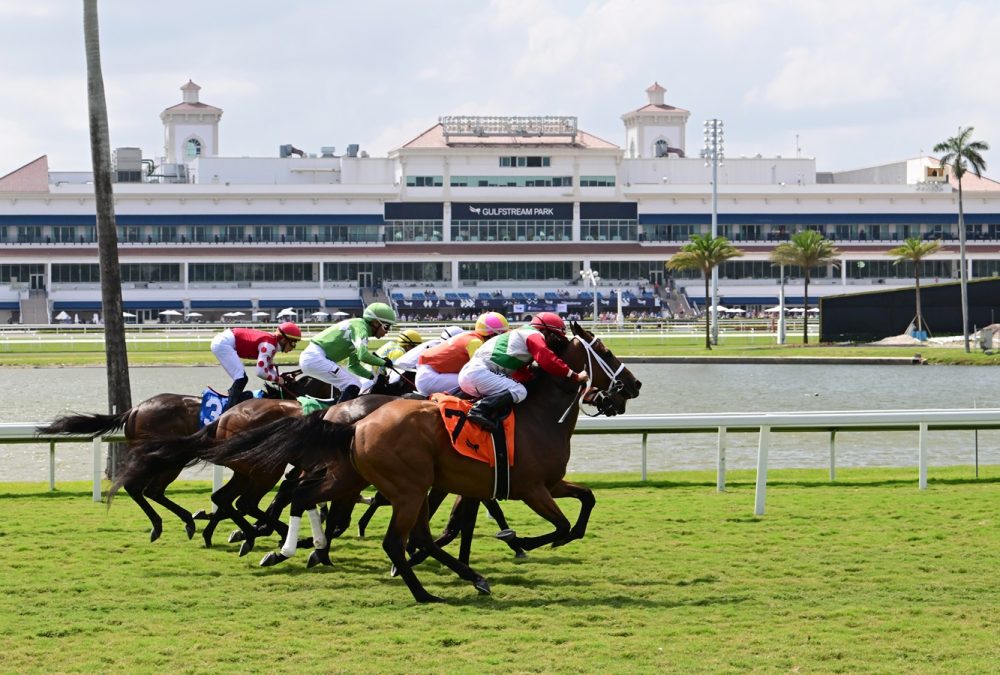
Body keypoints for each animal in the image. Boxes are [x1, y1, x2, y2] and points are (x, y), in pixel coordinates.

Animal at [206, 322, 640, 604]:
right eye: (604, 351)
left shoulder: (538, 483)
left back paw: (283, 547)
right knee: (389, 537)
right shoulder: (529, 489)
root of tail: (354, 423)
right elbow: (558, 525)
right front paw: (521, 542)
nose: (632, 387)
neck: (539, 415)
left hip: (353, 478)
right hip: (402, 487)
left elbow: (585, 504)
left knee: (299, 496)